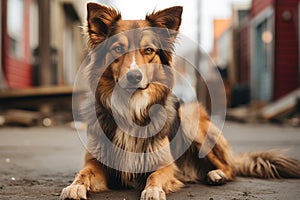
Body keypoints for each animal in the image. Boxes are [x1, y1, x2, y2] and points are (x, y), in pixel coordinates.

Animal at [59, 2, 298, 200]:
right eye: (117, 48)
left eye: (149, 50)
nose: (134, 76)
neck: (131, 107)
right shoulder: (97, 162)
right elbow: (84, 172)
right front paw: (74, 186)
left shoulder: (166, 165)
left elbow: (155, 176)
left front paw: (153, 190)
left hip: (191, 117)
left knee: (230, 168)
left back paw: (217, 174)